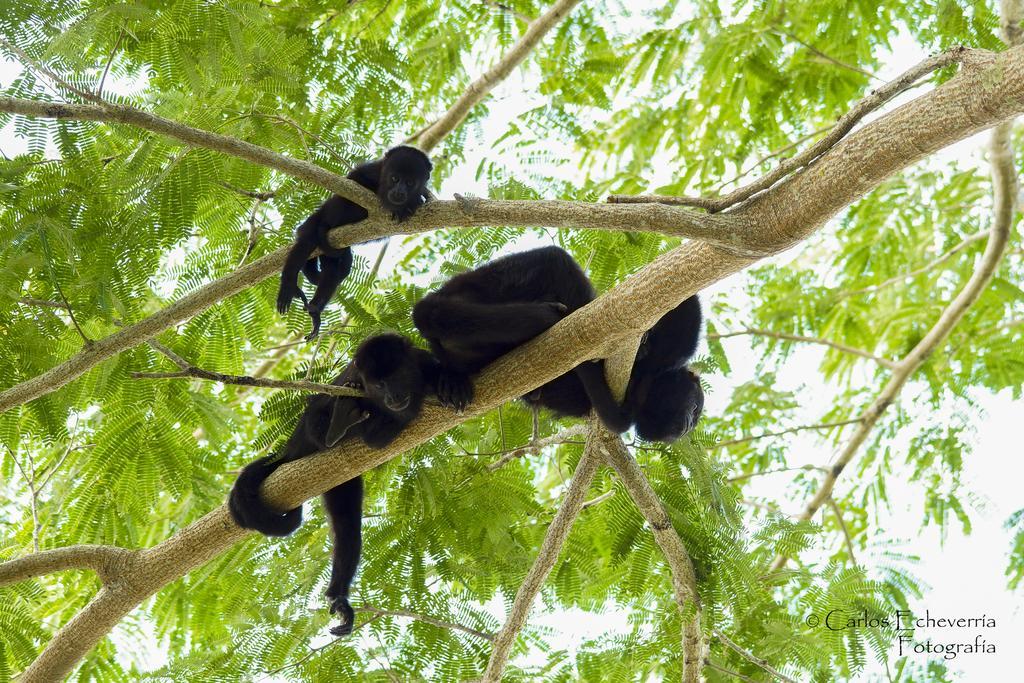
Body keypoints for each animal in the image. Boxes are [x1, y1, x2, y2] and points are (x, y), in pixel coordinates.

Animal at [230, 333, 438, 638]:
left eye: (397, 377)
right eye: (379, 385)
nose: (394, 397)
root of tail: (288, 451)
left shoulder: (423, 361)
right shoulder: (354, 380)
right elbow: (324, 404)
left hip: (341, 482)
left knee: (347, 528)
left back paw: (339, 594)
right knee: (320, 413)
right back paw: (337, 427)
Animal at [276, 149, 432, 342]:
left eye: (410, 182)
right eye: (395, 178)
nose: (399, 191)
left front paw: (413, 203)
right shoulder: (369, 171)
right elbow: (352, 183)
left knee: (336, 270)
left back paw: (315, 310)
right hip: (313, 223)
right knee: (307, 242)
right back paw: (288, 285)